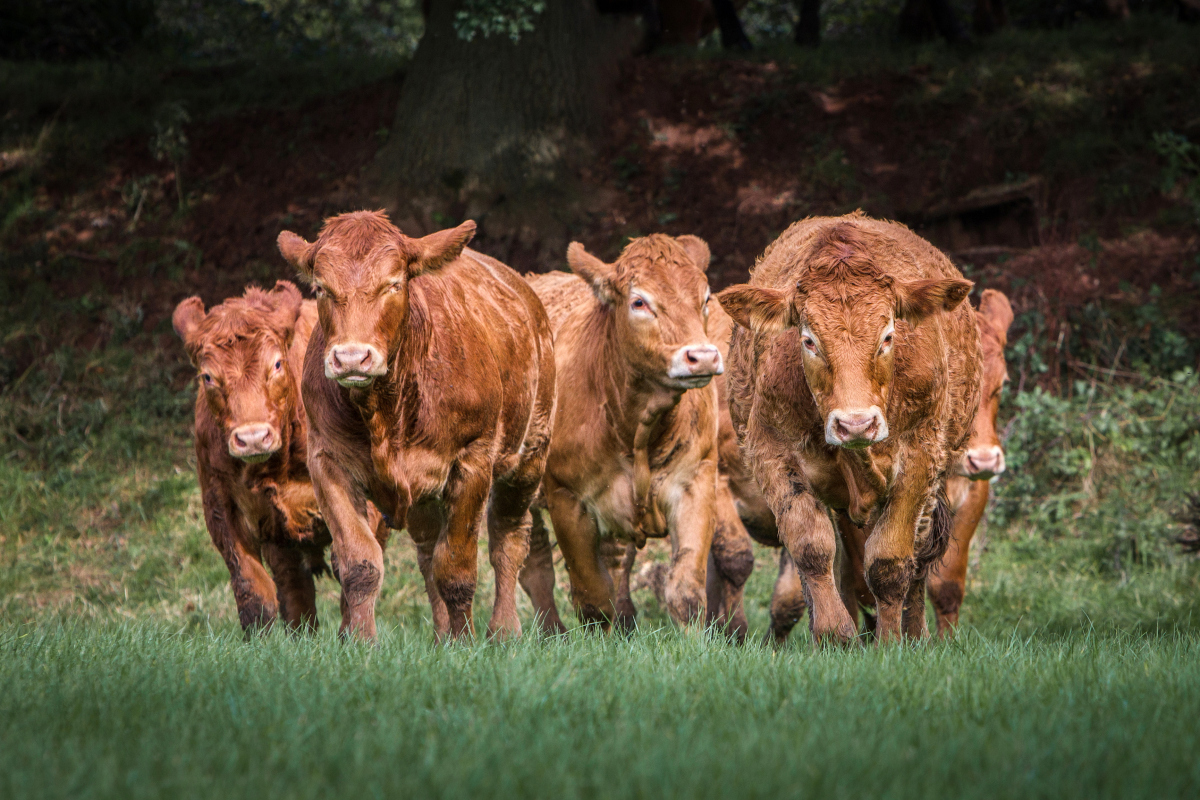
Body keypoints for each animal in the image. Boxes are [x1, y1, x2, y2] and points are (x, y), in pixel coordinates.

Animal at [174, 281, 386, 633]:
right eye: (208, 377)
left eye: (276, 364)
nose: (252, 438)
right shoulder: (220, 507)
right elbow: (252, 589)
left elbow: (352, 567)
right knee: (293, 587)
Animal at [278, 209, 554, 642]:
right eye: (321, 288)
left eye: (393, 284)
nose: (352, 358)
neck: (385, 412)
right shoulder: (327, 461)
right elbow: (360, 564)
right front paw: (361, 641)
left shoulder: (473, 461)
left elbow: (457, 568)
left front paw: (465, 642)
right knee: (427, 551)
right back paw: (441, 636)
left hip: (529, 455)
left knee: (508, 539)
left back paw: (503, 630)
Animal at [520, 235, 744, 633]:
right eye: (639, 302)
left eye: (704, 298)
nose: (702, 357)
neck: (639, 428)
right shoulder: (567, 498)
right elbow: (593, 599)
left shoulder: (697, 483)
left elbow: (685, 593)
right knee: (533, 565)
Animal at [710, 214, 974, 642]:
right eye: (809, 340)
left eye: (887, 336)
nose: (855, 425)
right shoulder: (772, 453)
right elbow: (812, 550)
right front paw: (835, 635)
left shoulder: (920, 457)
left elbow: (890, 562)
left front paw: (891, 643)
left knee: (918, 557)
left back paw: (915, 633)